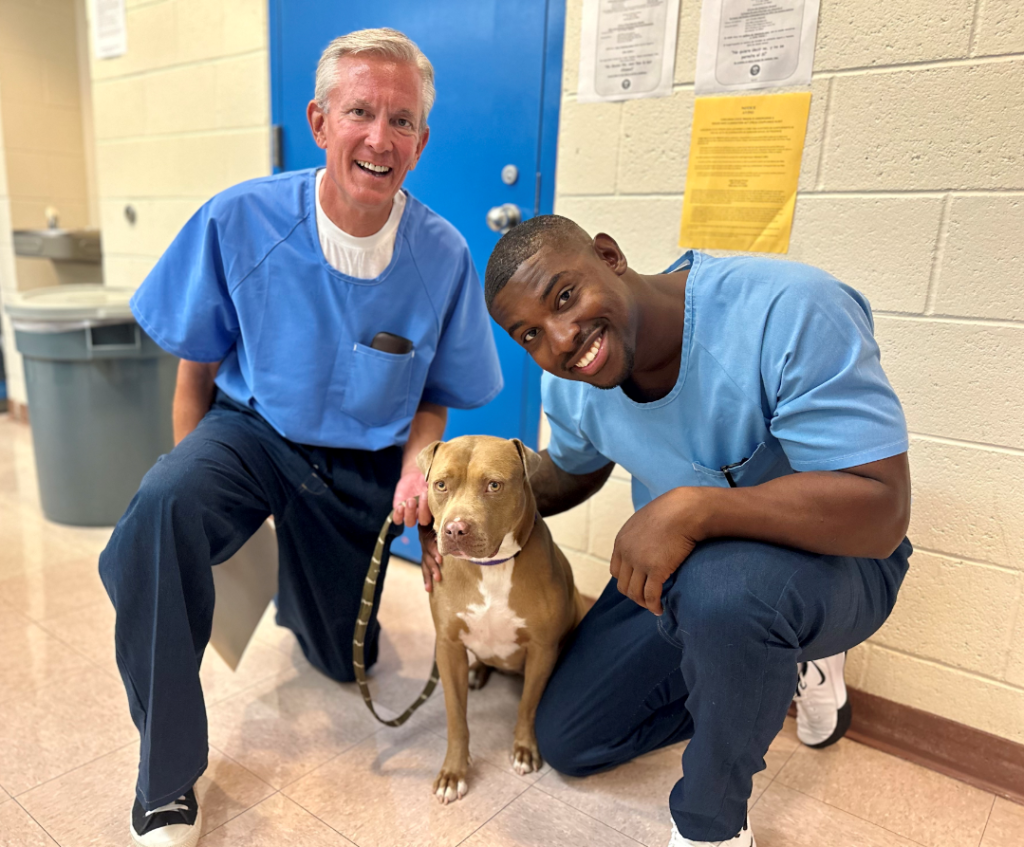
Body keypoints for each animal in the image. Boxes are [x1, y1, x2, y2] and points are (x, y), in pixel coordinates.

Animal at [419, 434, 589, 802]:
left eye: (494, 485)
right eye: (441, 485)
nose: (455, 530)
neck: (492, 567)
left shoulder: (542, 649)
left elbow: (528, 705)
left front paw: (525, 749)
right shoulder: (448, 647)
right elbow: (457, 718)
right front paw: (453, 772)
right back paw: (477, 671)